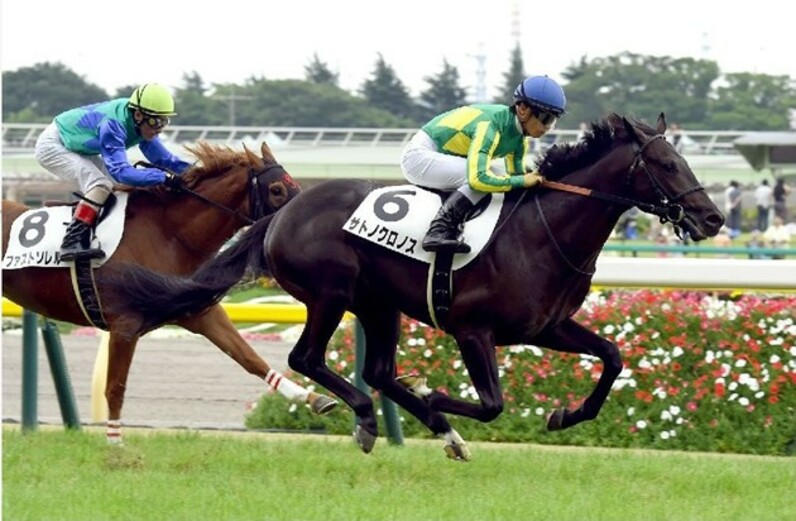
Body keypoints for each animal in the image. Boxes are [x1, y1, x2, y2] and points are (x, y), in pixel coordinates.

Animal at [1, 141, 337, 444]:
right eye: (277, 190)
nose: (305, 221)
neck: (169, 235)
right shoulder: (124, 324)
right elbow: (115, 388)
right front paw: (115, 445)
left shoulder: (198, 311)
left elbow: (249, 358)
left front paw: (314, 399)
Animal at [98, 113, 724, 458]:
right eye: (667, 165)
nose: (713, 218)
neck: (543, 232)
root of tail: (282, 211)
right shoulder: (473, 330)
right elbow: (492, 404)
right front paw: (438, 397)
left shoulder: (546, 327)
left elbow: (613, 357)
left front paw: (563, 416)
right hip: (331, 294)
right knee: (310, 359)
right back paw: (372, 419)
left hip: (379, 305)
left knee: (377, 371)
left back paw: (436, 430)